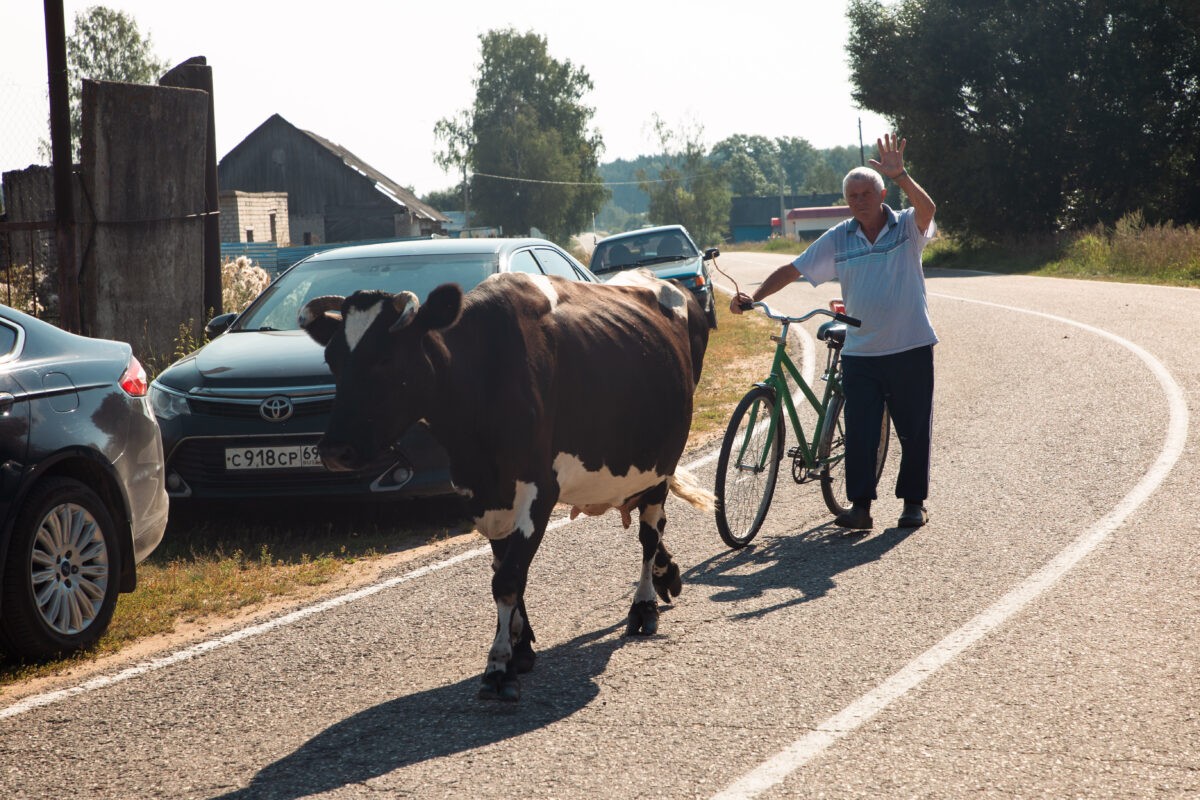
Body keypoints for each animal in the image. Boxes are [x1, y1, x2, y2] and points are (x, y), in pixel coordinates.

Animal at [300, 268, 710, 700]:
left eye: (386, 358)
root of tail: (658, 279)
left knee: (650, 533)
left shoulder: (538, 492)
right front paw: (520, 646)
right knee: (655, 530)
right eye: (332, 360)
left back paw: (644, 605)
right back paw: (667, 574)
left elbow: (509, 578)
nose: (334, 450)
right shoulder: (482, 496)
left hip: (662, 462)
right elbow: (504, 569)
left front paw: (498, 665)